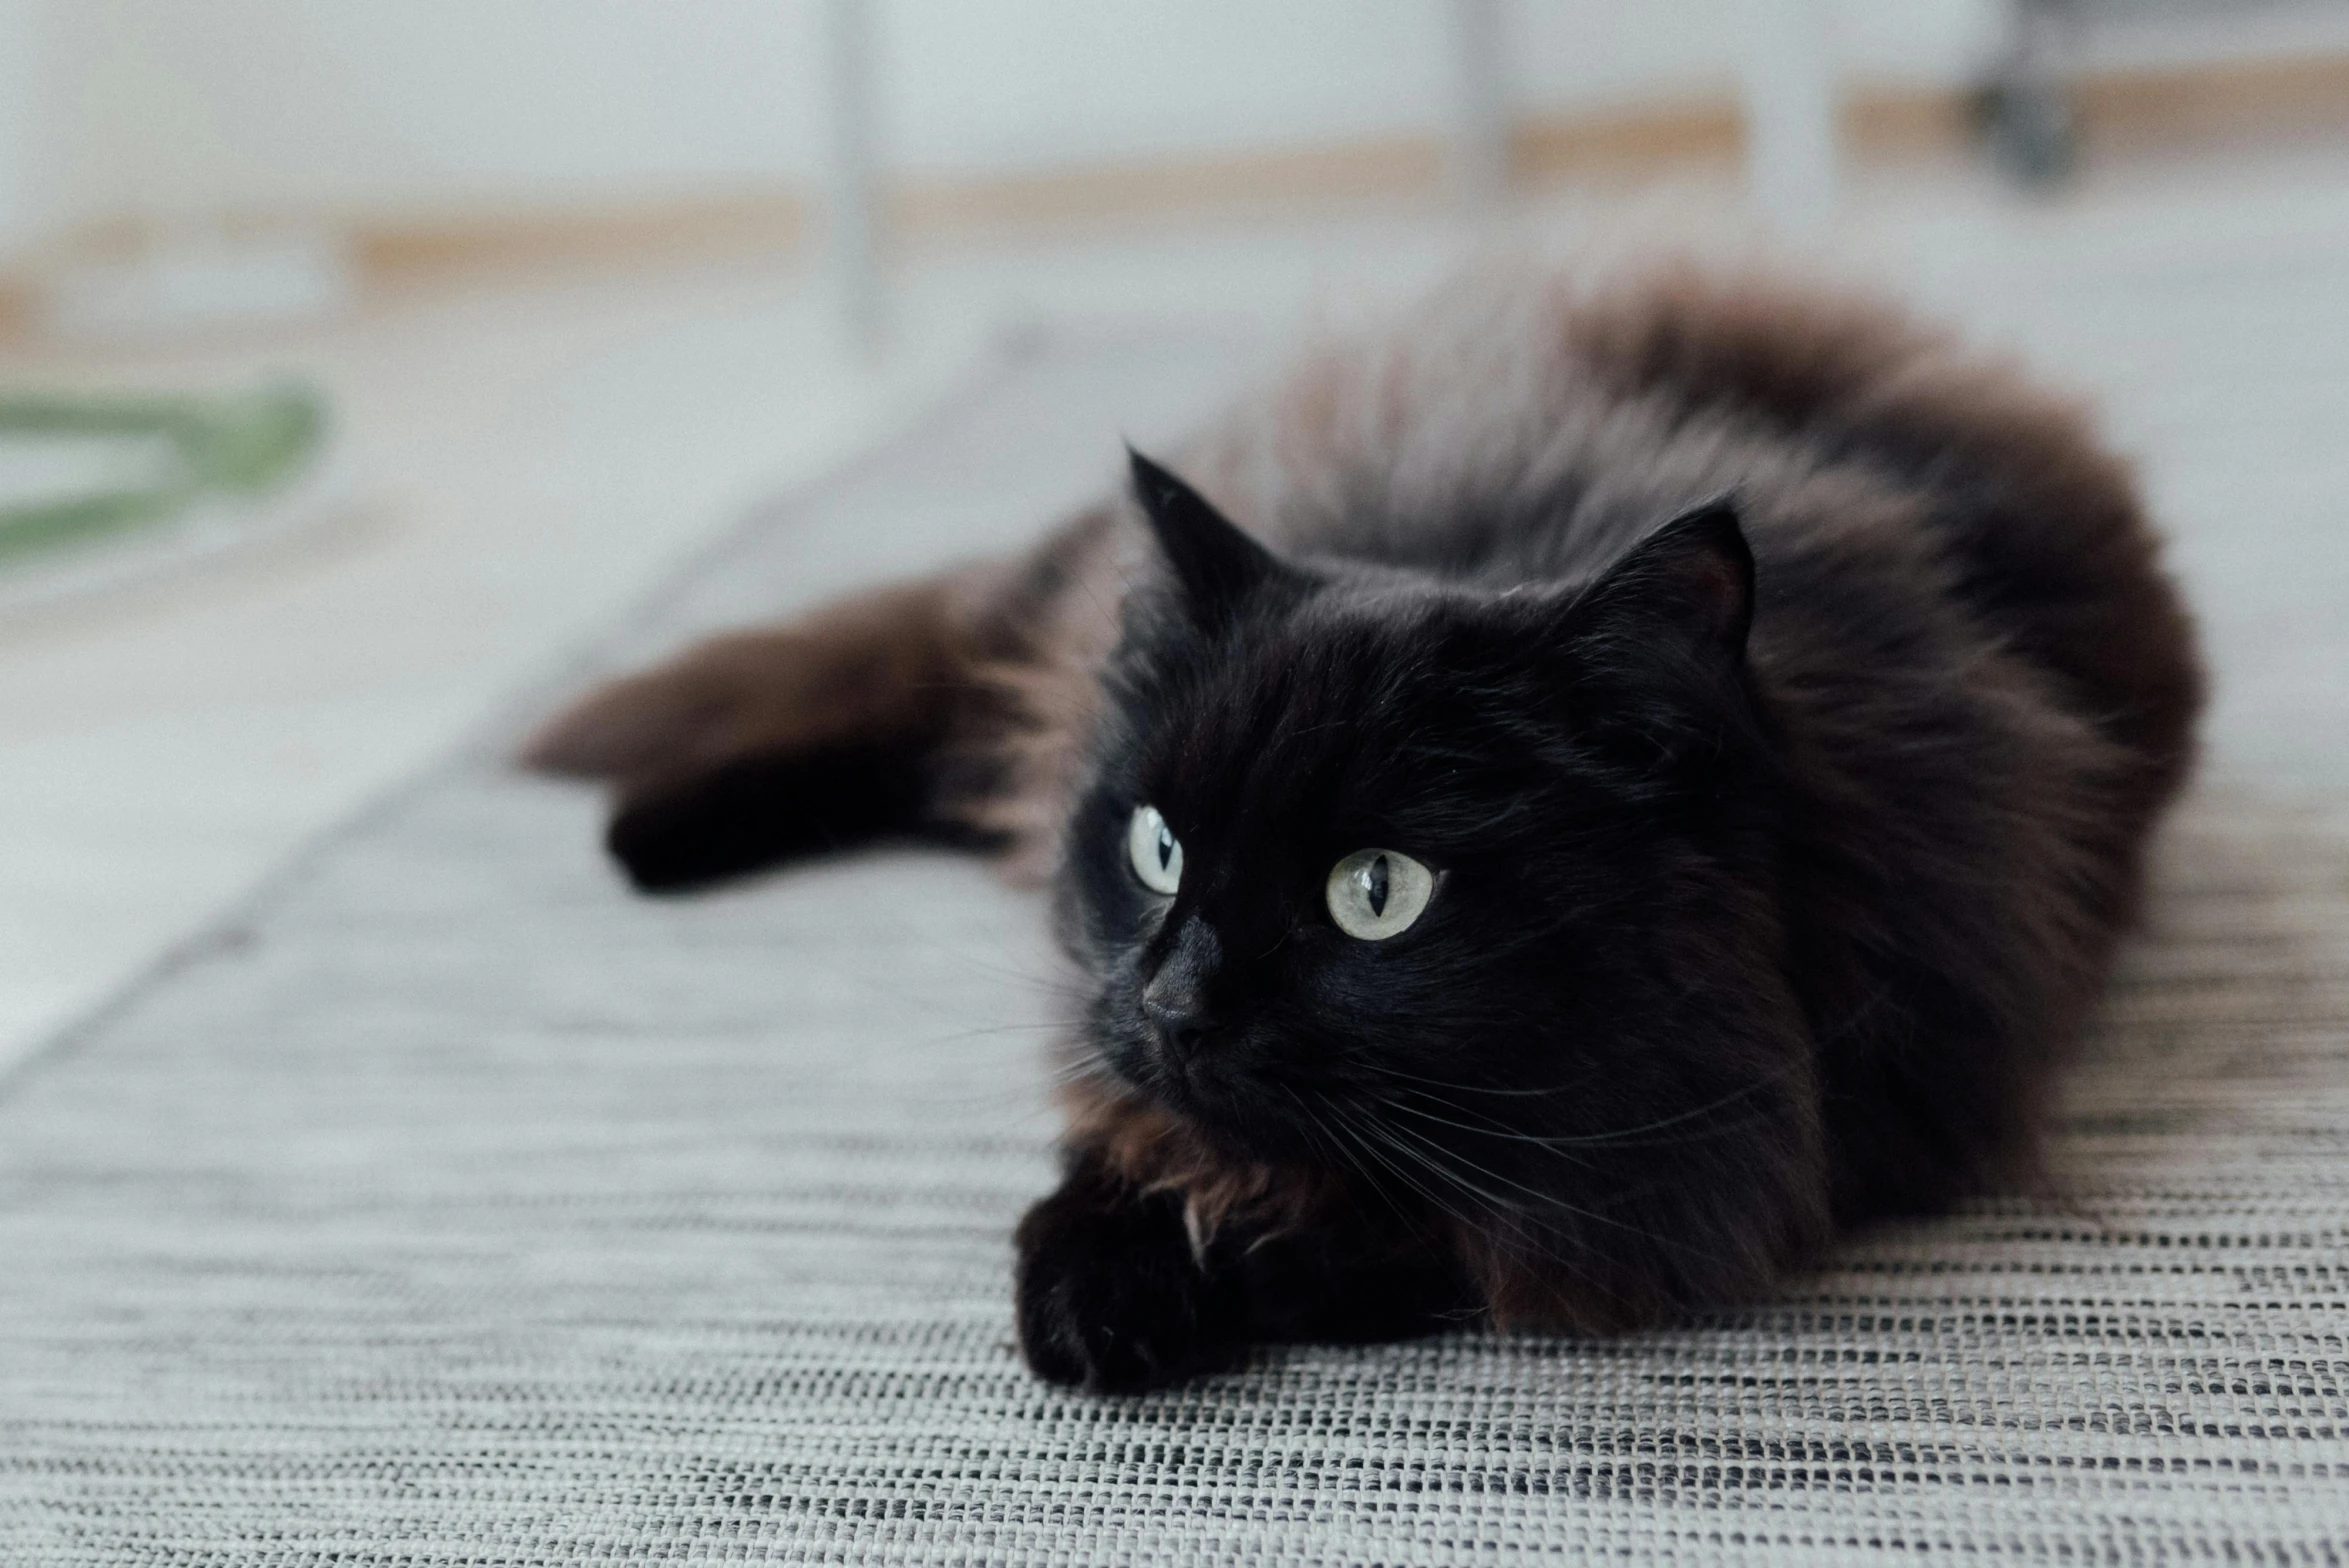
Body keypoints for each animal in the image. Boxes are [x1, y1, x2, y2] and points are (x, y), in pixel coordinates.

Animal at [533, 269, 2198, 1398]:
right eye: (1156, 850)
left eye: (1375, 894)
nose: (1177, 1002)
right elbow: (1117, 1130)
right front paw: (1096, 1283)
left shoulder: (1812, 1121)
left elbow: (1440, 1233)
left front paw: (1220, 1273)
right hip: (1015, 650)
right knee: (927, 698)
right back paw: (641, 838)